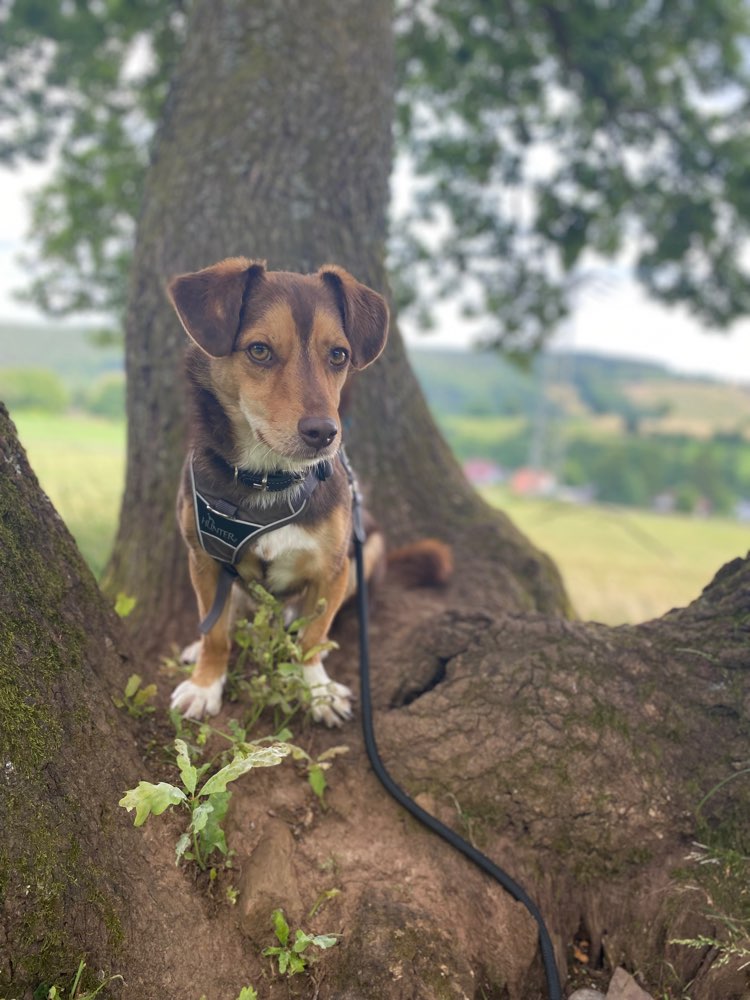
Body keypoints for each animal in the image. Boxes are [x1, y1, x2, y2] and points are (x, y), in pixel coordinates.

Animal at [170, 256, 390, 728]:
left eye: (339, 355)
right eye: (259, 350)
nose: (324, 434)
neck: (268, 478)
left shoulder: (333, 569)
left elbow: (314, 637)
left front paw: (319, 692)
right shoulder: (204, 559)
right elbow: (216, 633)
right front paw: (205, 684)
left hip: (369, 547)